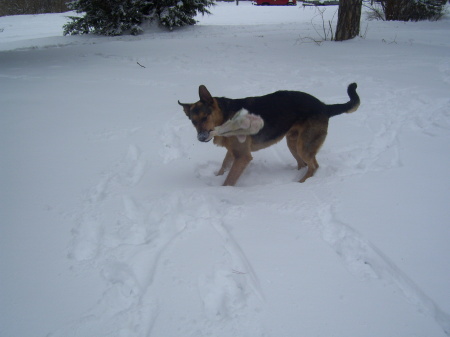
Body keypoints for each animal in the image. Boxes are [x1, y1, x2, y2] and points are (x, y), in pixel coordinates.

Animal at [178, 82, 360, 185]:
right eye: (193, 121)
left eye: (205, 117)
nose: (201, 138)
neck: (225, 115)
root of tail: (324, 106)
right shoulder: (233, 152)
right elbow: (224, 167)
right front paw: (216, 177)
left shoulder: (242, 157)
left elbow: (229, 180)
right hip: (293, 143)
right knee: (304, 164)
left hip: (304, 146)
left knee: (314, 166)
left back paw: (301, 184)